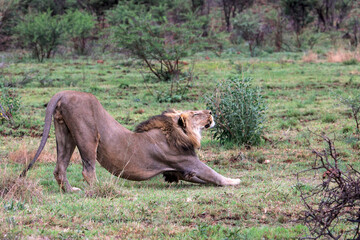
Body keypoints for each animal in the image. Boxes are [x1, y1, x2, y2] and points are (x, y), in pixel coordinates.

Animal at [19, 90, 239, 191]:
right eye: (195, 113)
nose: (210, 111)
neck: (177, 133)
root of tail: (64, 93)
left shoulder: (179, 170)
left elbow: (204, 179)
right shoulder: (187, 161)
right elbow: (213, 174)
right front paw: (235, 181)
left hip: (65, 134)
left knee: (60, 168)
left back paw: (71, 190)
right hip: (88, 135)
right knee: (87, 170)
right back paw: (100, 188)